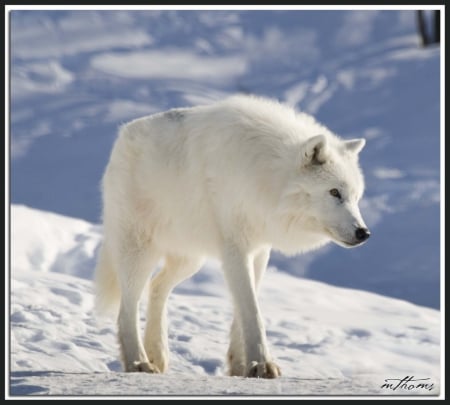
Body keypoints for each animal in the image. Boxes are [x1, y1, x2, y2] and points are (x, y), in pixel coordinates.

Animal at [95, 93, 370, 378]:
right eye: (334, 192)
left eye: (356, 197)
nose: (364, 233)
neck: (266, 173)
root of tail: (122, 135)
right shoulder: (236, 249)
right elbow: (252, 311)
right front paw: (262, 364)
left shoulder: (259, 251)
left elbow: (245, 306)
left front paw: (240, 366)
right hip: (138, 252)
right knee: (127, 308)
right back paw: (138, 362)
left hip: (190, 260)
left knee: (157, 287)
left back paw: (157, 356)